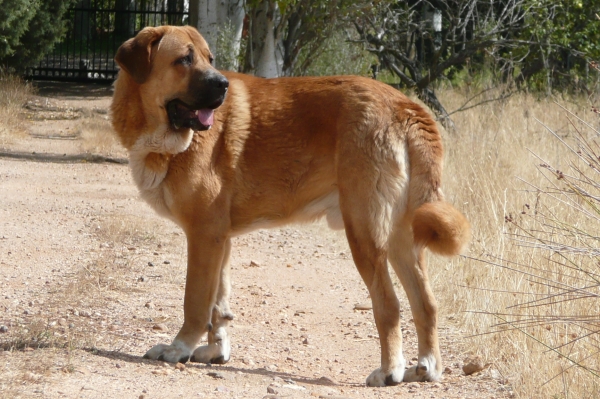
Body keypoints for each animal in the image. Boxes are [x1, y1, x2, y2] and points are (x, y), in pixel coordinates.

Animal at [111, 25, 468, 388]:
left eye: (208, 59)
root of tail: (405, 105)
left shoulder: (204, 235)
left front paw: (178, 348)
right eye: (185, 59)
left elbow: (195, 303)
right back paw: (427, 367)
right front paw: (216, 351)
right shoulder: (219, 239)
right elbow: (218, 306)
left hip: (365, 234)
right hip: (400, 238)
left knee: (389, 305)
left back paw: (389, 370)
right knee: (426, 304)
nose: (223, 85)